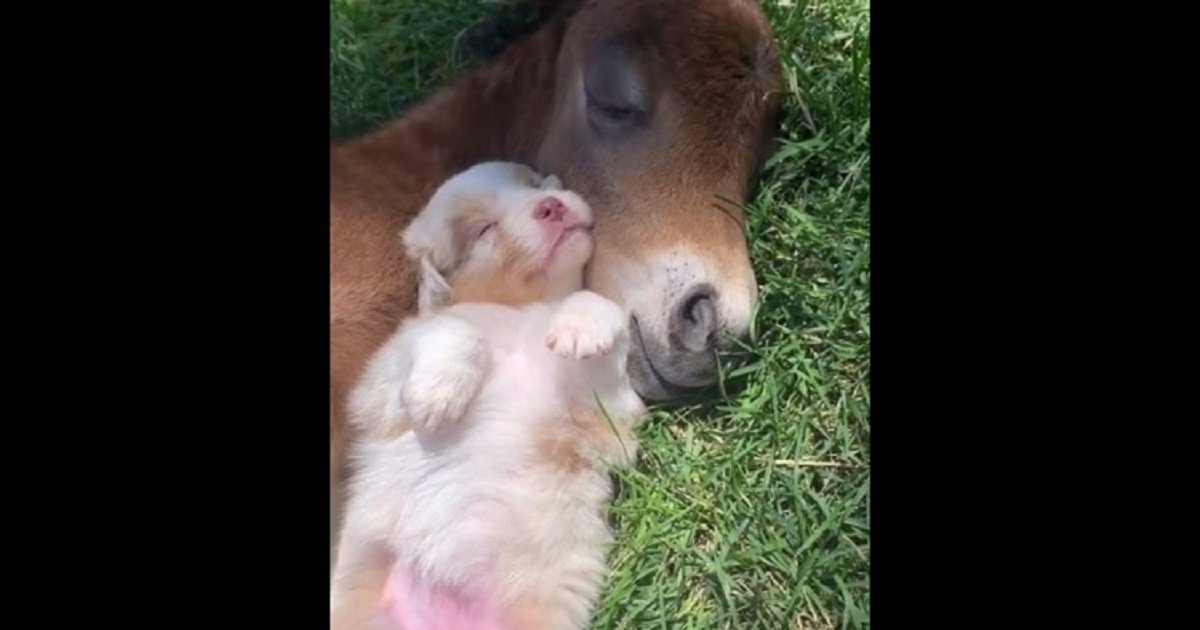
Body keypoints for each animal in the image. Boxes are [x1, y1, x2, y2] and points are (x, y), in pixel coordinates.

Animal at [328, 162, 648, 628]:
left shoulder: (603, 416)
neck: (522, 312)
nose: (550, 206)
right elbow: (457, 329)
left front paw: (581, 325)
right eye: (483, 230)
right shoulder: (382, 381)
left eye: (533, 183)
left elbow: (594, 306)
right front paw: (440, 393)